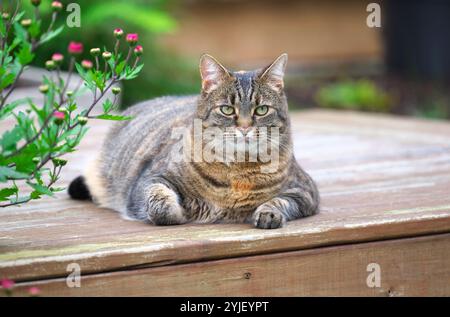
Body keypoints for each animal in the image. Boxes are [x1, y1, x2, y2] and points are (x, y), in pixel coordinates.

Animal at [68, 53, 318, 227]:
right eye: (227, 109)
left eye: (262, 110)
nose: (245, 128)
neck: (239, 171)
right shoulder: (149, 180)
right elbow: (162, 206)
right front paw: (183, 211)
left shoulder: (305, 191)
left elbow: (279, 201)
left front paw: (269, 213)